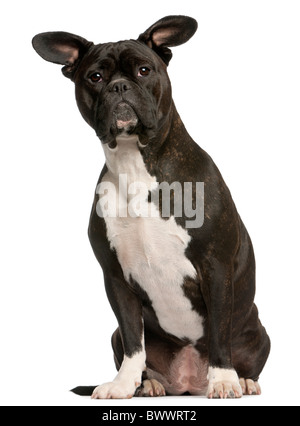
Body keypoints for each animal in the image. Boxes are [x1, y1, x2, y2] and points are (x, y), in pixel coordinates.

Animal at [32, 14, 270, 400]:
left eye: (144, 70)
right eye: (95, 77)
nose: (119, 87)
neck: (135, 165)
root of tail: (188, 383)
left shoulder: (215, 267)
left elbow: (219, 332)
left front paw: (224, 380)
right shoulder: (116, 277)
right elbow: (133, 338)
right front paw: (123, 383)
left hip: (258, 330)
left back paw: (243, 380)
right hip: (117, 334)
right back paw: (149, 384)